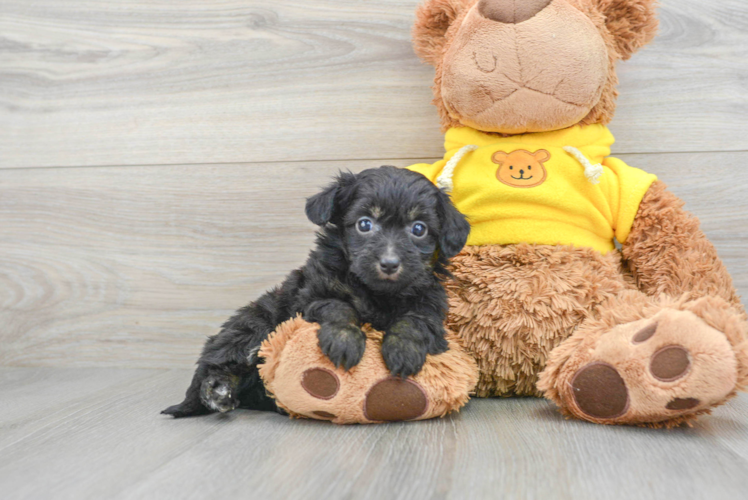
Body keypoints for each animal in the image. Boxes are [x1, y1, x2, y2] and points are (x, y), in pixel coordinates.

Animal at [162, 167, 468, 418]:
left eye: (419, 229)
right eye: (364, 224)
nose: (390, 263)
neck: (376, 292)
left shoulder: (429, 304)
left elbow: (413, 322)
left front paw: (403, 351)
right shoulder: (313, 296)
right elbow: (339, 307)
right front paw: (345, 342)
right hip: (250, 326)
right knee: (217, 366)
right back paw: (217, 391)